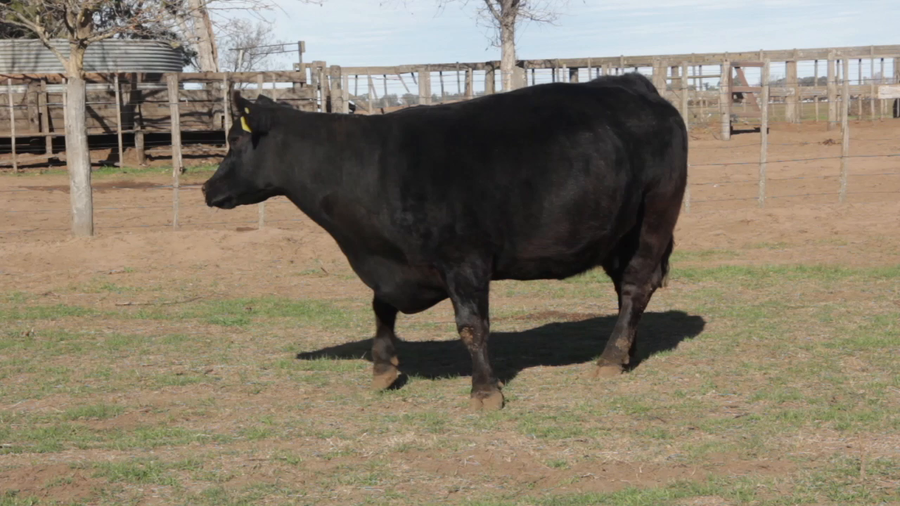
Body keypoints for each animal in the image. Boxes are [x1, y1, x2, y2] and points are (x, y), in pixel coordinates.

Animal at [202, 72, 688, 410]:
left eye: (235, 139)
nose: (207, 188)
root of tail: (635, 84)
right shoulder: (395, 265)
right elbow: (381, 308)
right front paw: (384, 366)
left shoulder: (464, 260)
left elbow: (472, 326)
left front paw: (485, 392)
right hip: (618, 232)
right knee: (626, 291)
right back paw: (626, 351)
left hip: (655, 216)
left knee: (636, 285)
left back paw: (609, 360)